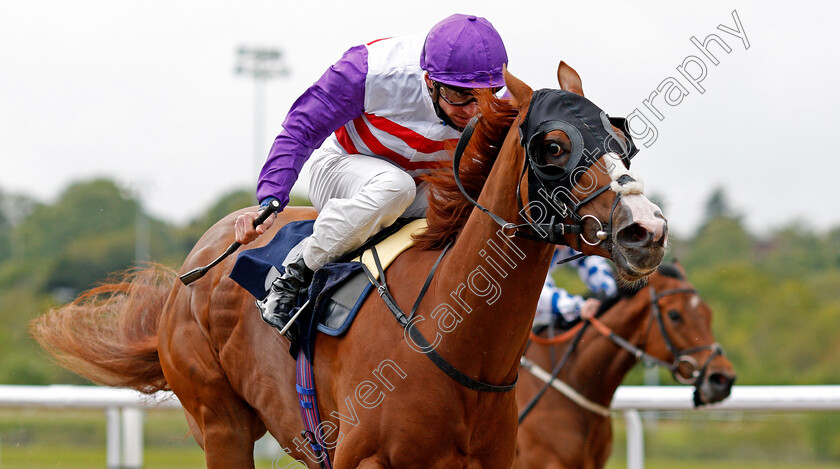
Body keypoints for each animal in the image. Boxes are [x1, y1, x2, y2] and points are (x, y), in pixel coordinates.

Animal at [29, 63, 668, 468]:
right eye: (553, 146)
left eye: (624, 143)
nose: (647, 230)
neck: (450, 337)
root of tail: (197, 265)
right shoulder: (365, 459)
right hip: (219, 420)